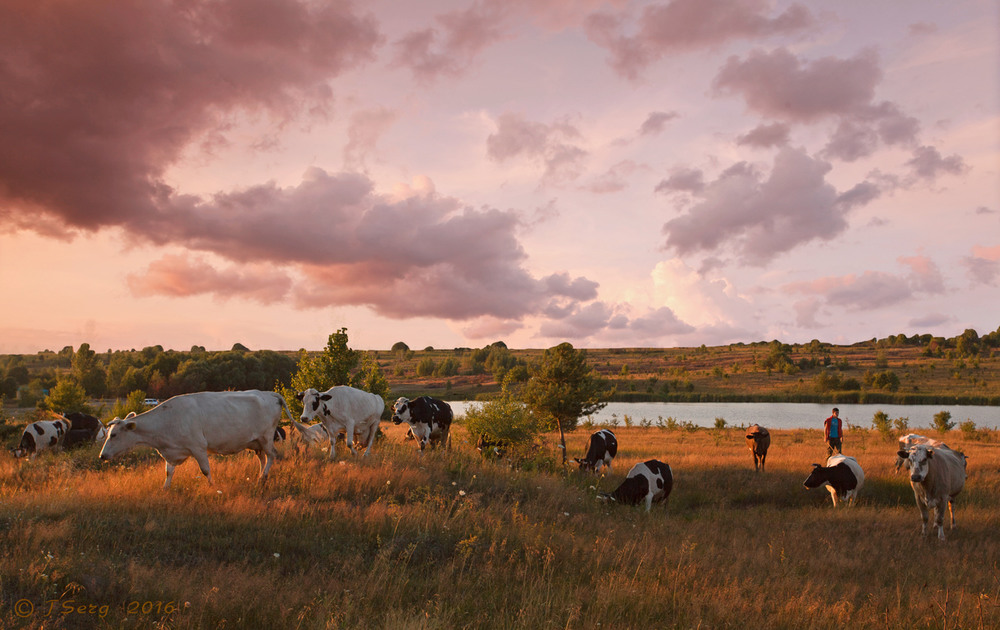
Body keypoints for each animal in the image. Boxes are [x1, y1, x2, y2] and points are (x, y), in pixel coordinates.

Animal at [99, 390, 290, 488]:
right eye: (107, 434)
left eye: (114, 435)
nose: (102, 456)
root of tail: (269, 393)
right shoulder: (172, 451)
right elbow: (169, 472)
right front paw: (165, 489)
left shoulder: (198, 447)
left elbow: (205, 470)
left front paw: (213, 487)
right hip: (256, 442)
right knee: (262, 458)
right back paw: (259, 477)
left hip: (266, 437)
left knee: (272, 455)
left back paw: (264, 477)